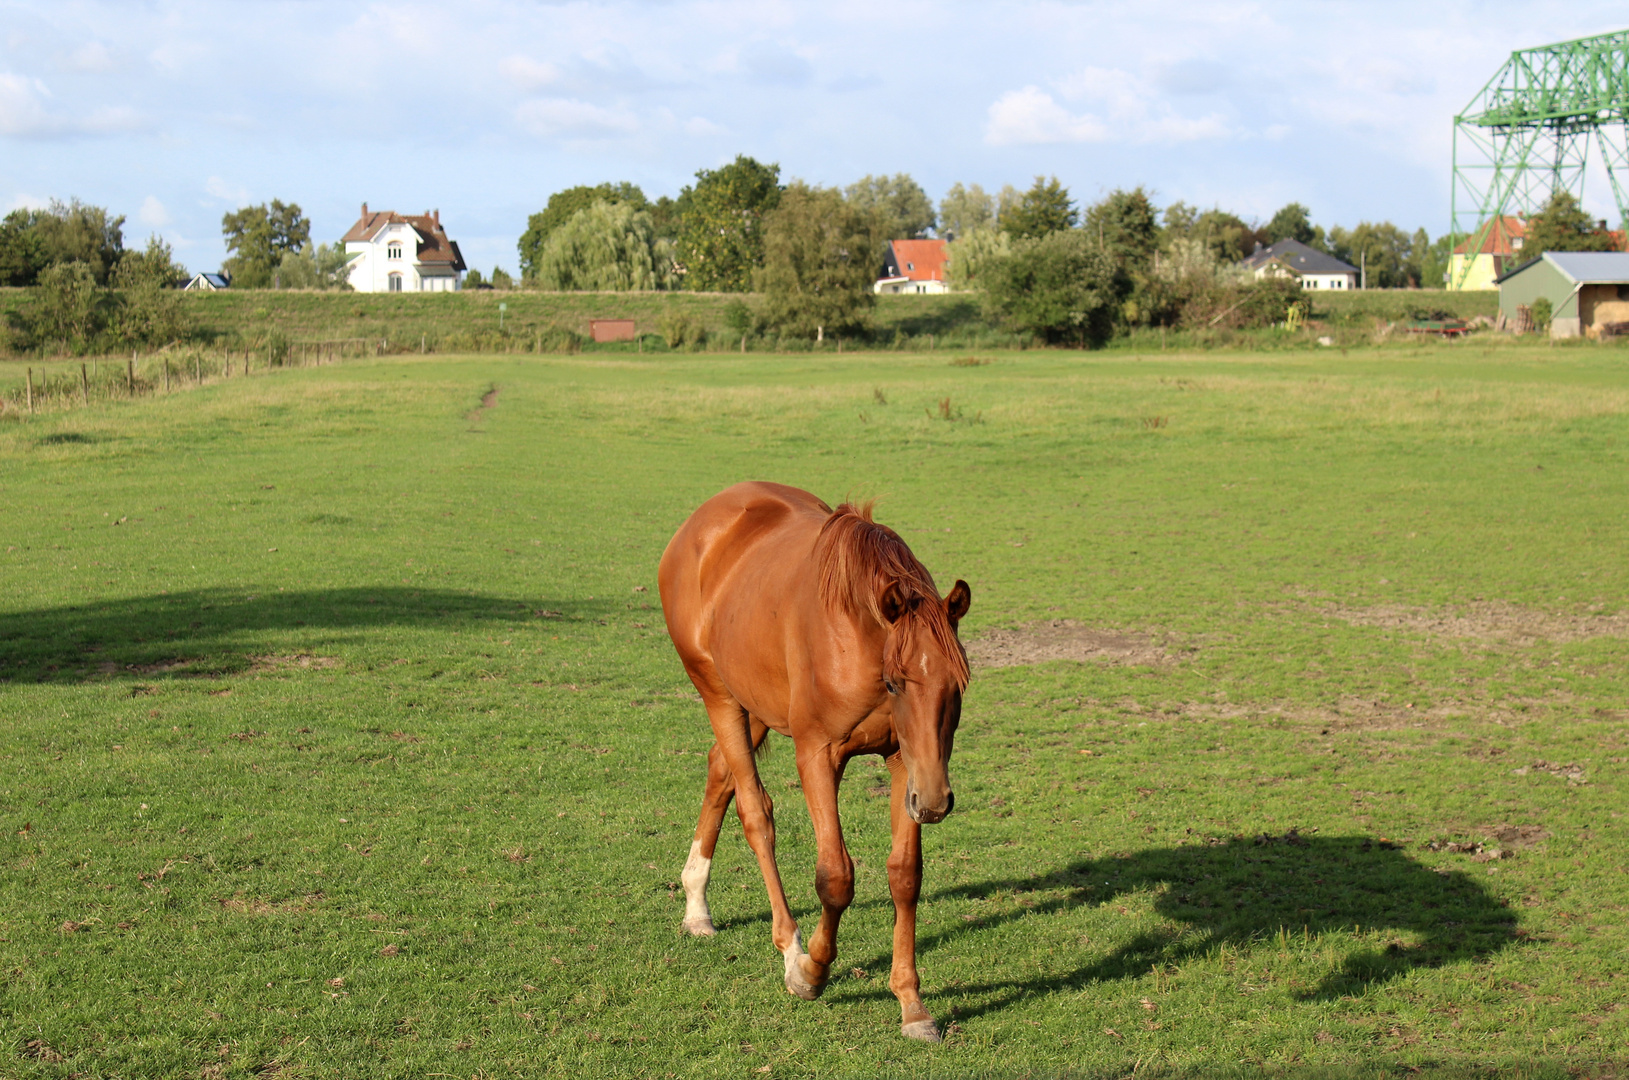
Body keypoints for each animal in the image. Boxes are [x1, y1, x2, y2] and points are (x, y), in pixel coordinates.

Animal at [658, 485, 970, 1042]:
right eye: (895, 682)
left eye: (957, 684)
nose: (935, 803)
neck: (859, 636)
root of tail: (702, 522)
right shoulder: (818, 755)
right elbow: (836, 877)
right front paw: (811, 972)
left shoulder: (905, 764)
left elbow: (904, 876)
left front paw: (912, 1004)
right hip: (719, 695)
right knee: (755, 813)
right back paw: (789, 946)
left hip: (756, 707)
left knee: (720, 772)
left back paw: (696, 904)